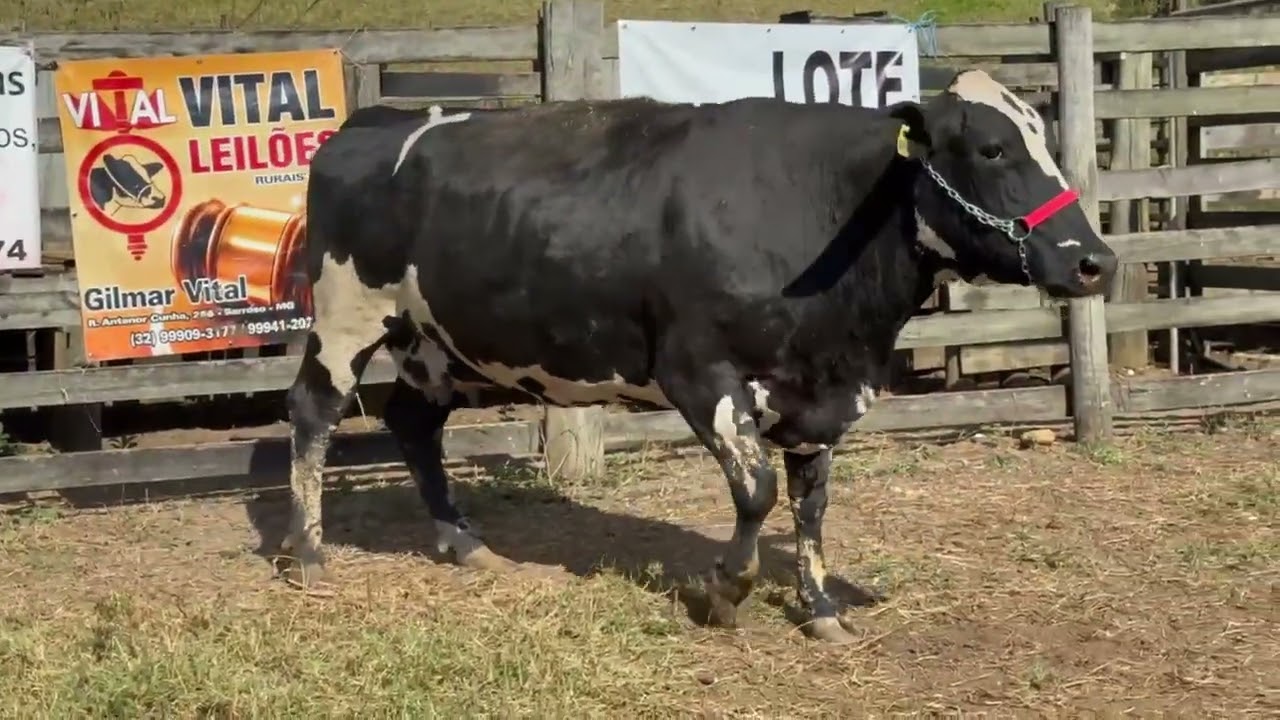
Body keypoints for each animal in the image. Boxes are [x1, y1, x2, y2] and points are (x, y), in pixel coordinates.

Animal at [278, 70, 1118, 644]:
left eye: (1046, 141)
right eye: (992, 148)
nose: (1096, 262)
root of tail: (369, 123)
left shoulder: (820, 392)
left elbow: (811, 506)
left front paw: (821, 610)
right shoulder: (699, 371)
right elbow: (756, 493)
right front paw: (721, 592)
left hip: (441, 343)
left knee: (413, 424)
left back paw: (466, 545)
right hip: (347, 315)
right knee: (312, 412)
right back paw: (308, 556)